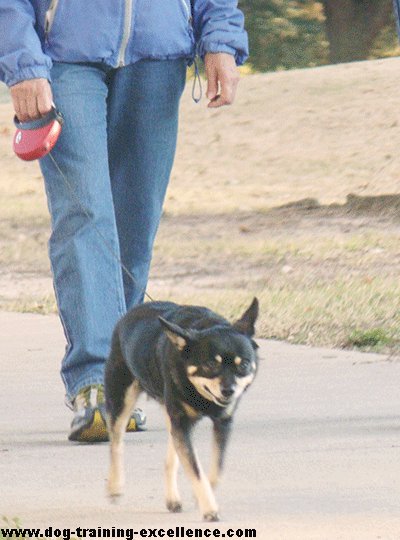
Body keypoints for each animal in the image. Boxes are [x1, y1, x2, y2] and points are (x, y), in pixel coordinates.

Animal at [104, 298, 260, 520]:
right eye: (211, 364)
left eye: (244, 365)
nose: (228, 391)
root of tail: (129, 314)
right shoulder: (182, 423)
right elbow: (195, 469)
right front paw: (209, 509)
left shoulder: (221, 423)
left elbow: (217, 467)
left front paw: (201, 497)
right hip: (121, 398)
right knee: (116, 443)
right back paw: (115, 487)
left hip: (171, 417)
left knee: (170, 459)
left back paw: (172, 498)